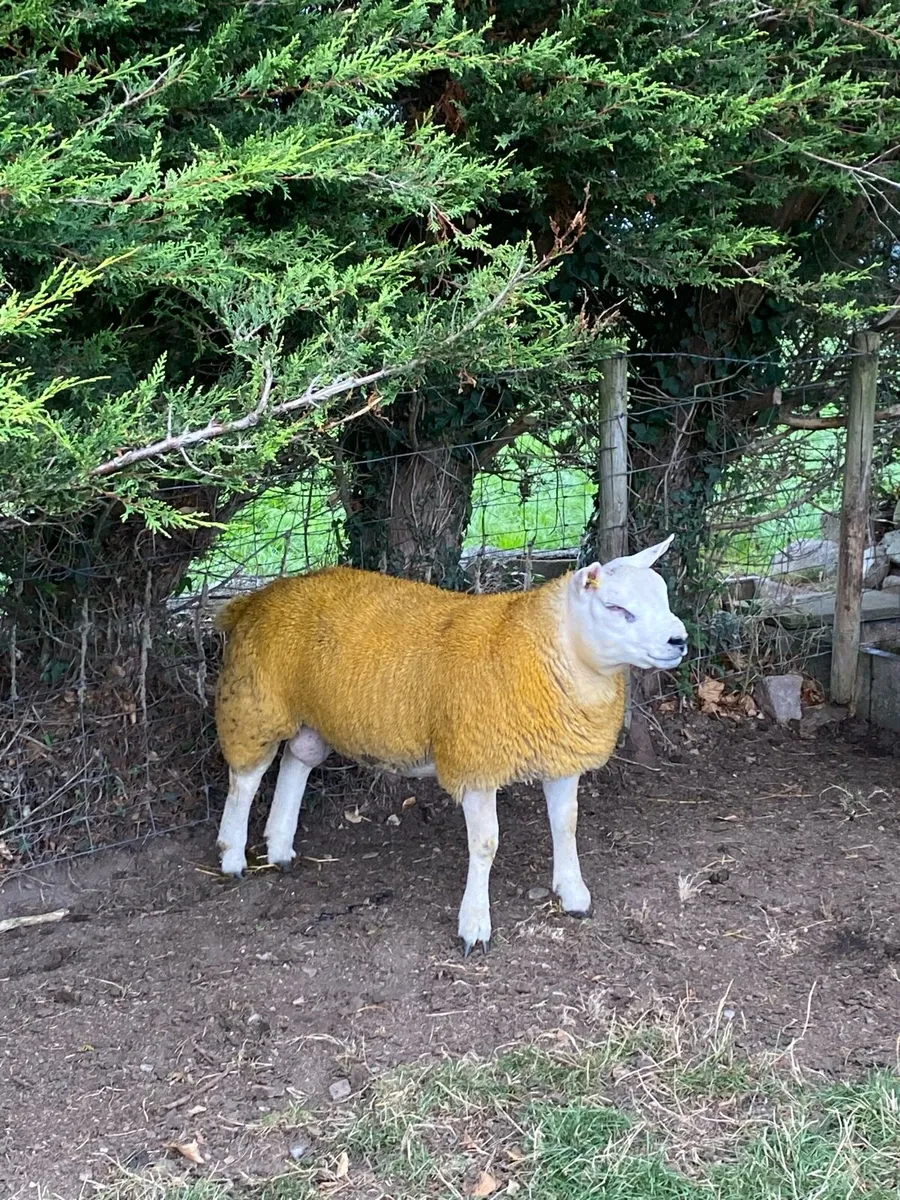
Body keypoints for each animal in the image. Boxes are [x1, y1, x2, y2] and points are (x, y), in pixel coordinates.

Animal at [213, 535, 687, 954]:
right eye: (615, 608)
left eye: (663, 596)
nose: (679, 641)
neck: (542, 649)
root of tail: (254, 599)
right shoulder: (473, 760)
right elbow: (486, 845)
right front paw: (475, 926)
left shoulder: (560, 755)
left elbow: (565, 824)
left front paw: (573, 894)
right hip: (254, 702)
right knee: (246, 778)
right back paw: (233, 855)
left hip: (312, 714)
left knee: (298, 759)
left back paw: (280, 847)